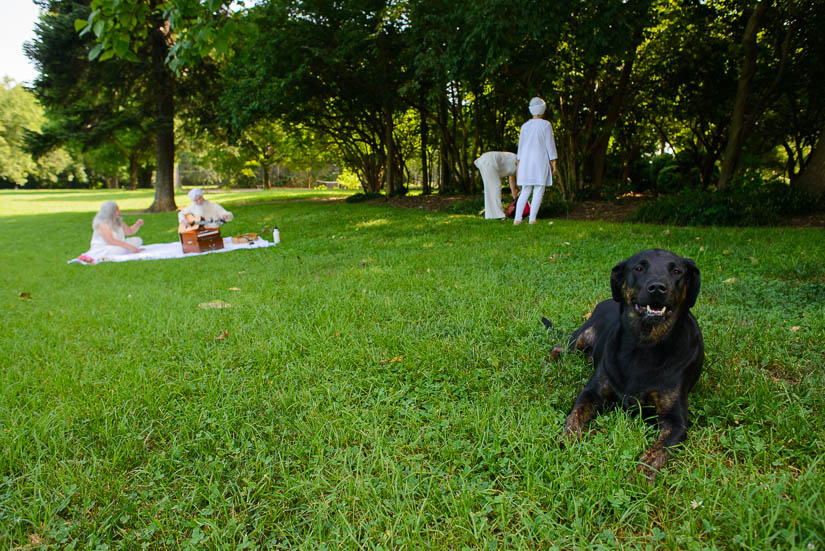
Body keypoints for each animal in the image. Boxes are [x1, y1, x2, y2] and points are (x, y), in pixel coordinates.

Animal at [548, 250, 700, 484]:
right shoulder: (592, 393)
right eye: (639, 268)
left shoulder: (676, 420)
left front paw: (641, 473)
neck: (644, 345)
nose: (657, 287)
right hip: (579, 339)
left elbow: (659, 449)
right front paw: (566, 440)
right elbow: (574, 417)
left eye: (677, 271)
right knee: (558, 347)